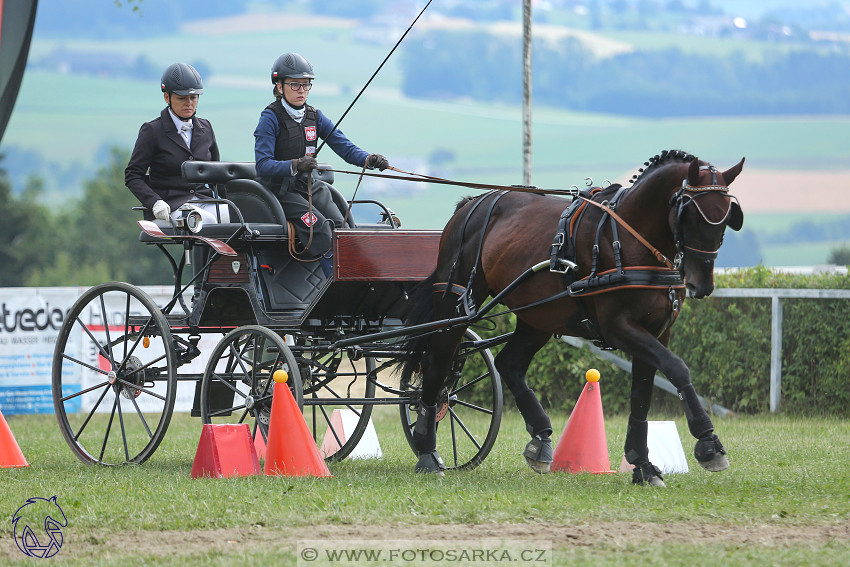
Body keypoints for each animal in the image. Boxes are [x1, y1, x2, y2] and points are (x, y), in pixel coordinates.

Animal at [400, 151, 740, 488]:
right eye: (691, 214)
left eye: (726, 217)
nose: (702, 284)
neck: (630, 238)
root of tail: (472, 203)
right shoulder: (619, 327)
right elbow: (677, 367)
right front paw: (709, 444)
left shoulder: (657, 331)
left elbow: (642, 395)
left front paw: (643, 465)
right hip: (456, 304)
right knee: (437, 362)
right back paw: (427, 450)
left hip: (537, 316)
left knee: (508, 364)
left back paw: (540, 439)